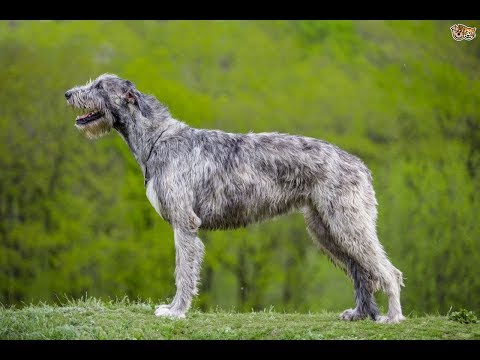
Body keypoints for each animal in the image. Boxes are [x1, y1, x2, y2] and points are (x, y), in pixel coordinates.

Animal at [64, 74, 404, 324]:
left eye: (99, 86)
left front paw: (175, 311)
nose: (68, 93)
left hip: (347, 222)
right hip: (326, 229)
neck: (158, 139)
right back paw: (360, 314)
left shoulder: (185, 224)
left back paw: (392, 317)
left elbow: (183, 272)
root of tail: (359, 165)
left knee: (389, 272)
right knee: (361, 271)